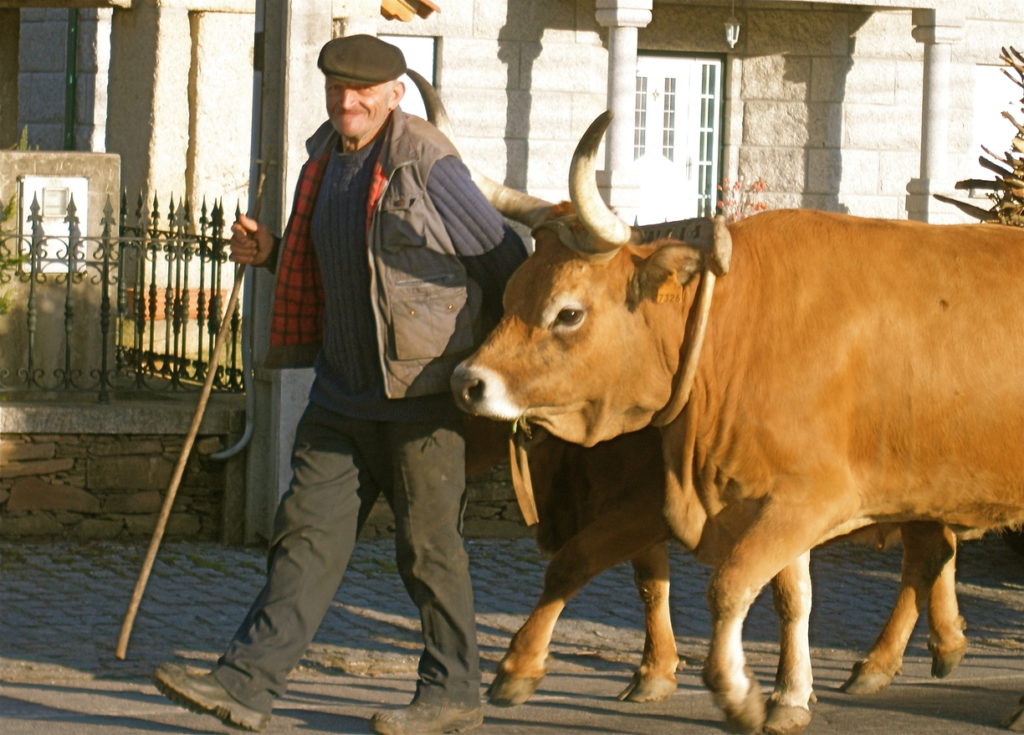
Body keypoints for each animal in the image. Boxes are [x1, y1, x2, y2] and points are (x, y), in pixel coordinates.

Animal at [450, 112, 1015, 732]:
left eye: (568, 312)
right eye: (508, 296)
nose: (467, 381)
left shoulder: (805, 499)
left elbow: (722, 586)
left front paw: (736, 690)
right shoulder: (763, 501)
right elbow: (783, 595)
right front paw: (786, 695)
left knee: (929, 553)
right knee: (933, 552)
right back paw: (907, 657)